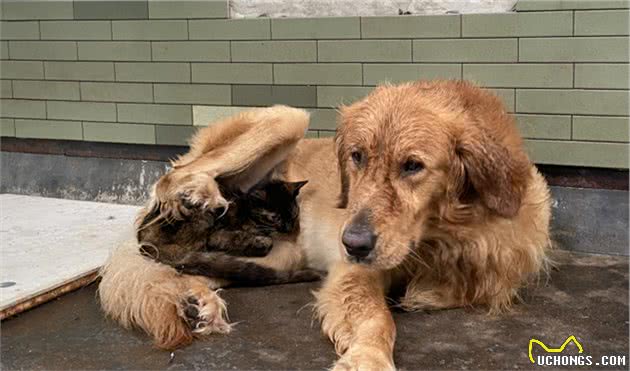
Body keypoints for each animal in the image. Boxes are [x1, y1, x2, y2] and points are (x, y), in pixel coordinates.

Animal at [135, 180, 318, 288]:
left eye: (294, 215)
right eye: (276, 217)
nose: (288, 228)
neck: (248, 211)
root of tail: (143, 240)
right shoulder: (218, 235)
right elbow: (245, 239)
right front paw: (260, 244)